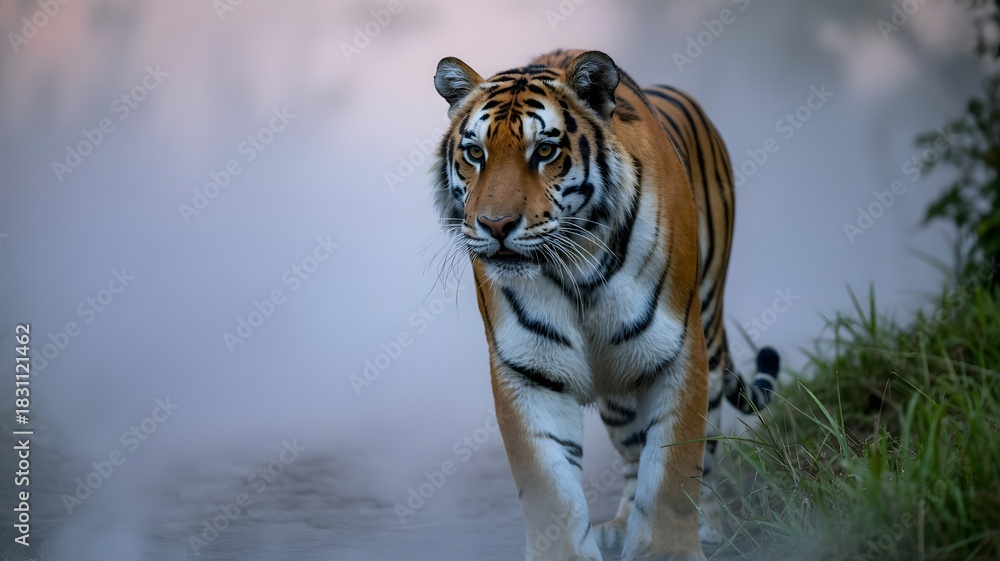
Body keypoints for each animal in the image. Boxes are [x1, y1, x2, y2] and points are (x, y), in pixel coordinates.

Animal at [431, 49, 779, 560]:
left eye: (545, 151)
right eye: (475, 153)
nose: (495, 226)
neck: (576, 270)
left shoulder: (679, 353)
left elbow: (674, 468)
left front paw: (669, 551)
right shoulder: (528, 370)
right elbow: (549, 486)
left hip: (709, 335)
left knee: (706, 455)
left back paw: (711, 526)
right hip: (621, 383)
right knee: (634, 452)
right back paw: (619, 526)